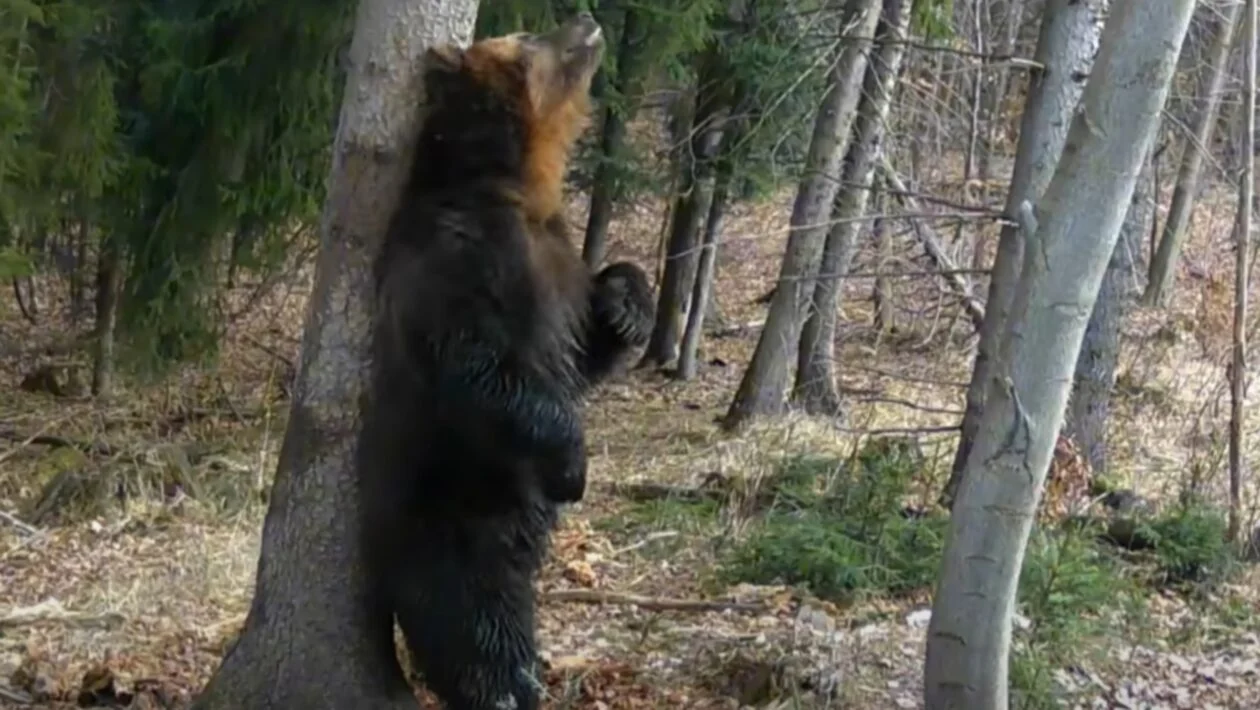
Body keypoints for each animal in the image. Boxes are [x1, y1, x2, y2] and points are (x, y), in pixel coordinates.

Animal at [355, 12, 650, 710]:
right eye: (526, 38)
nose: (587, 19)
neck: (517, 184)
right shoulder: (462, 255)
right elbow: (481, 370)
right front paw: (573, 466)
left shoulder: (558, 257)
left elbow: (587, 342)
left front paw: (628, 304)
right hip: (449, 517)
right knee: (472, 624)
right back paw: (504, 688)